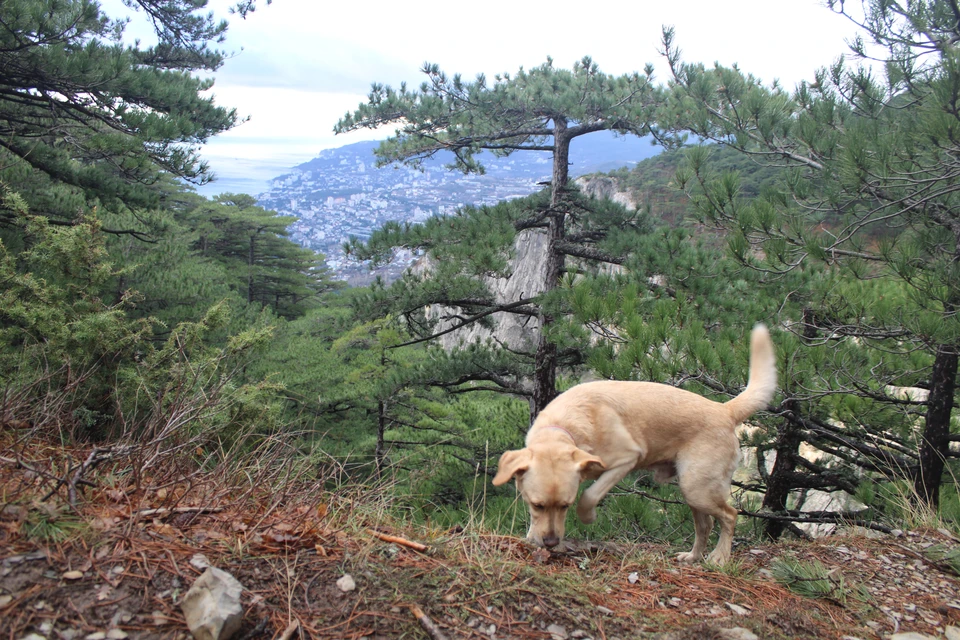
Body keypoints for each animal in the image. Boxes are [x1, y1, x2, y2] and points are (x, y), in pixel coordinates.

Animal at [492, 324, 776, 564]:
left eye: (566, 505)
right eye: (537, 505)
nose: (550, 542)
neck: (565, 426)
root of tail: (724, 410)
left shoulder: (625, 459)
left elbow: (589, 495)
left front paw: (588, 516)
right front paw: (532, 534)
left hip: (699, 488)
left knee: (730, 515)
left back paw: (719, 557)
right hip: (693, 489)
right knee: (705, 525)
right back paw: (693, 556)